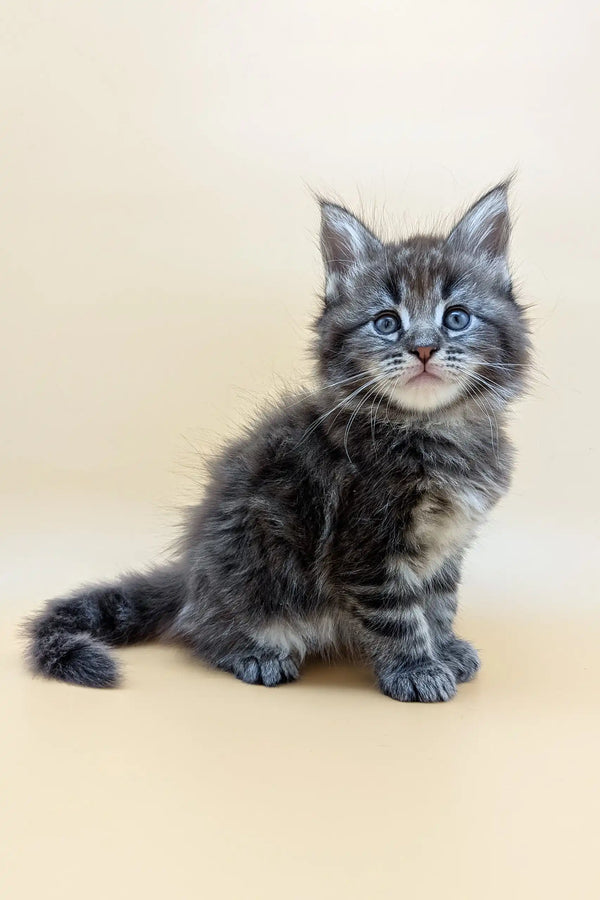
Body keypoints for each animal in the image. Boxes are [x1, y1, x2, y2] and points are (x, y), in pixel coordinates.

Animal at [23, 185, 528, 704]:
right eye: (387, 322)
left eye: (456, 318)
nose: (424, 348)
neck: (431, 430)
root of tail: (188, 575)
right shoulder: (365, 549)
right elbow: (399, 617)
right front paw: (416, 669)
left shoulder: (446, 547)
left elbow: (439, 603)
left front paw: (444, 648)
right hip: (252, 568)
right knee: (199, 630)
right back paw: (254, 654)